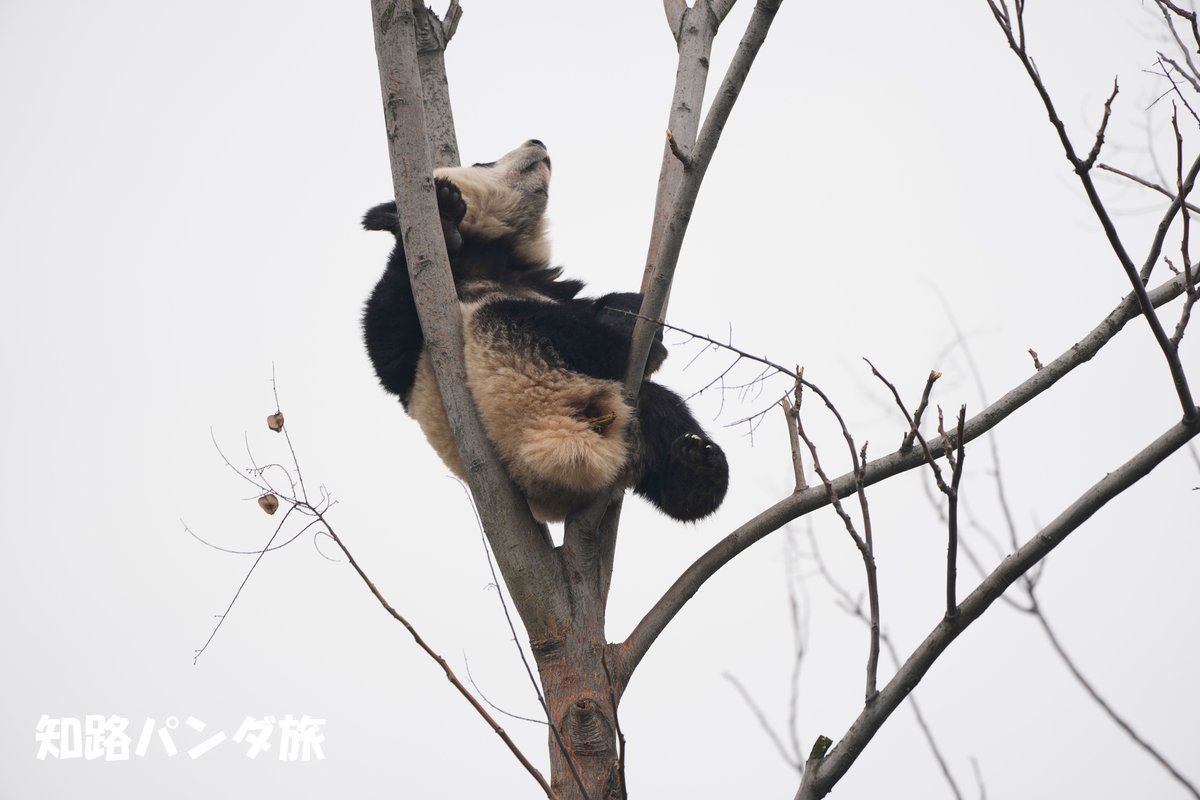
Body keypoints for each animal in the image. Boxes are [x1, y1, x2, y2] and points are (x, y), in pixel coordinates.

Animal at [362, 139, 728, 523]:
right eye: (481, 163)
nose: (536, 141)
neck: (492, 255)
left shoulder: (543, 284)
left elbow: (592, 303)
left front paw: (629, 304)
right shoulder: (432, 305)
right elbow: (389, 349)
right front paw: (445, 214)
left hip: (630, 410)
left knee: (664, 410)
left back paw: (696, 471)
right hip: (515, 388)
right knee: (527, 321)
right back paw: (635, 346)